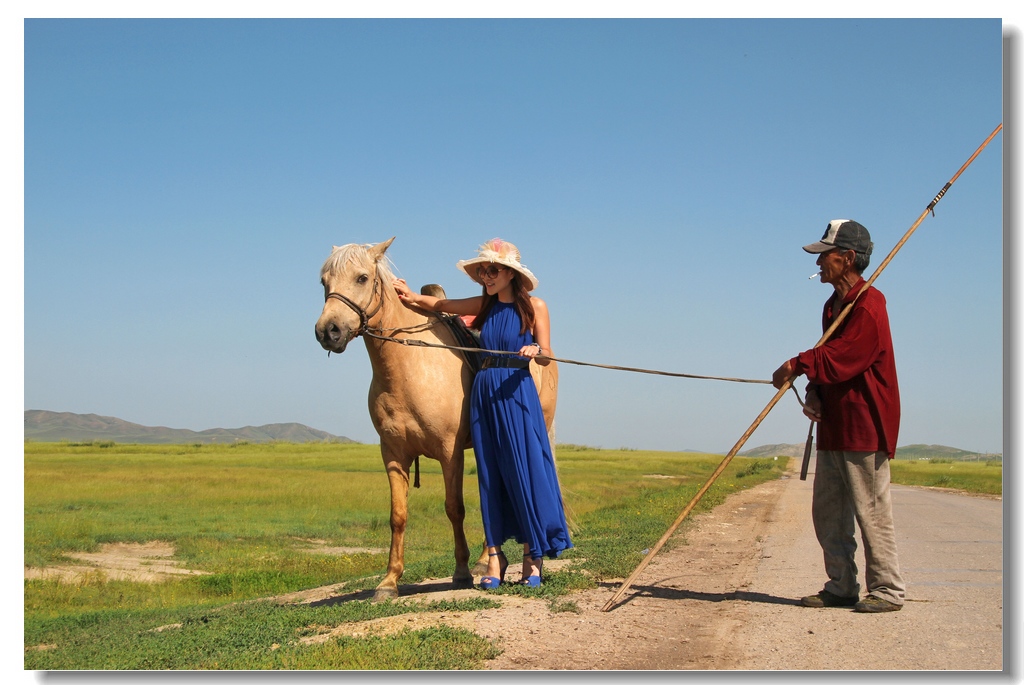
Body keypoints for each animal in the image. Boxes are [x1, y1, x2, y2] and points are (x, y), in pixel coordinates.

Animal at [315, 236, 561, 597]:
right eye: (324, 282)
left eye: (362, 277)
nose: (328, 331)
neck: (410, 367)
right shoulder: (393, 454)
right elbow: (398, 515)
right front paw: (389, 581)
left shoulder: (450, 452)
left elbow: (454, 508)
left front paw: (461, 572)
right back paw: (490, 562)